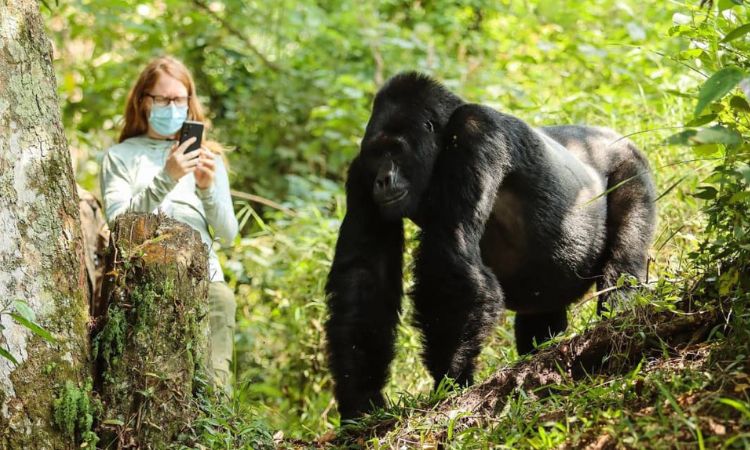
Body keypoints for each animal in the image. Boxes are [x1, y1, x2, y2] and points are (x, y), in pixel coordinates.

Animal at [326, 72, 656, 420]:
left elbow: (450, 257)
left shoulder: (476, 130)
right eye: (377, 154)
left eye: (396, 150)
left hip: (632, 164)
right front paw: (360, 399)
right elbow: (364, 277)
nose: (383, 180)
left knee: (623, 265)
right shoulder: (360, 172)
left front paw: (450, 377)